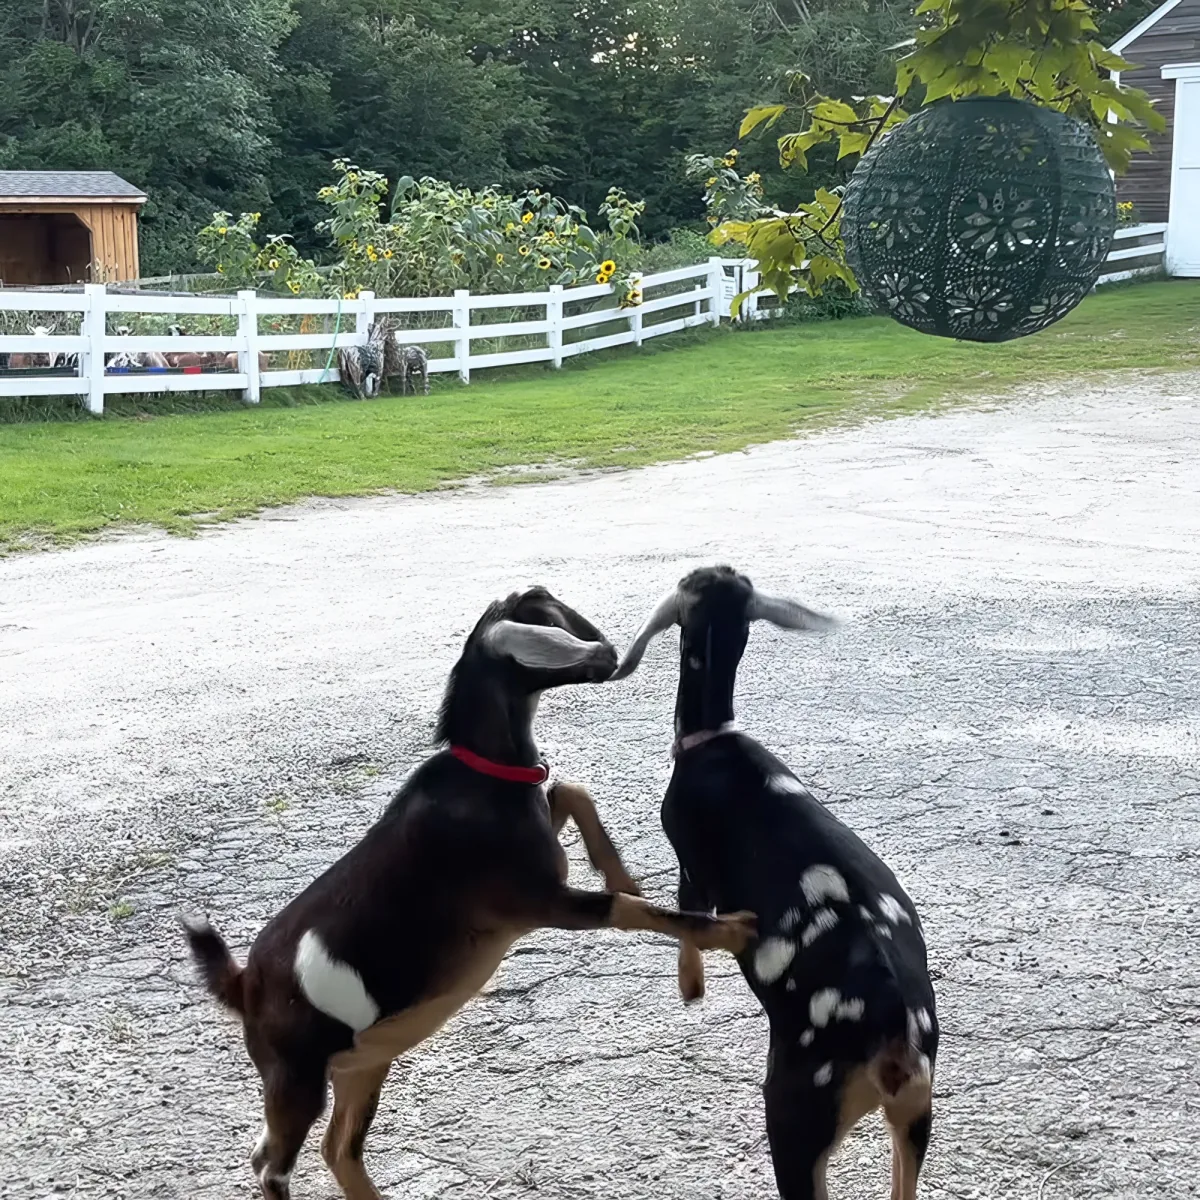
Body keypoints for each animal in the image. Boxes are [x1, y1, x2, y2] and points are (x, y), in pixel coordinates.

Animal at [184, 585, 756, 1200]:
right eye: (546, 620)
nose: (610, 656)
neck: (487, 776)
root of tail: (242, 984)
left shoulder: (543, 858)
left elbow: (572, 792)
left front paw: (621, 871)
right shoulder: (538, 902)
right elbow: (634, 909)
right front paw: (731, 931)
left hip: (363, 1061)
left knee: (336, 1148)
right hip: (296, 1075)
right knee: (272, 1163)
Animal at [614, 565, 937, 1200]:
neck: (712, 739)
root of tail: (892, 1032)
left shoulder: (691, 867)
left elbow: (689, 925)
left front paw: (691, 988)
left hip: (795, 1114)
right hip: (915, 1114)